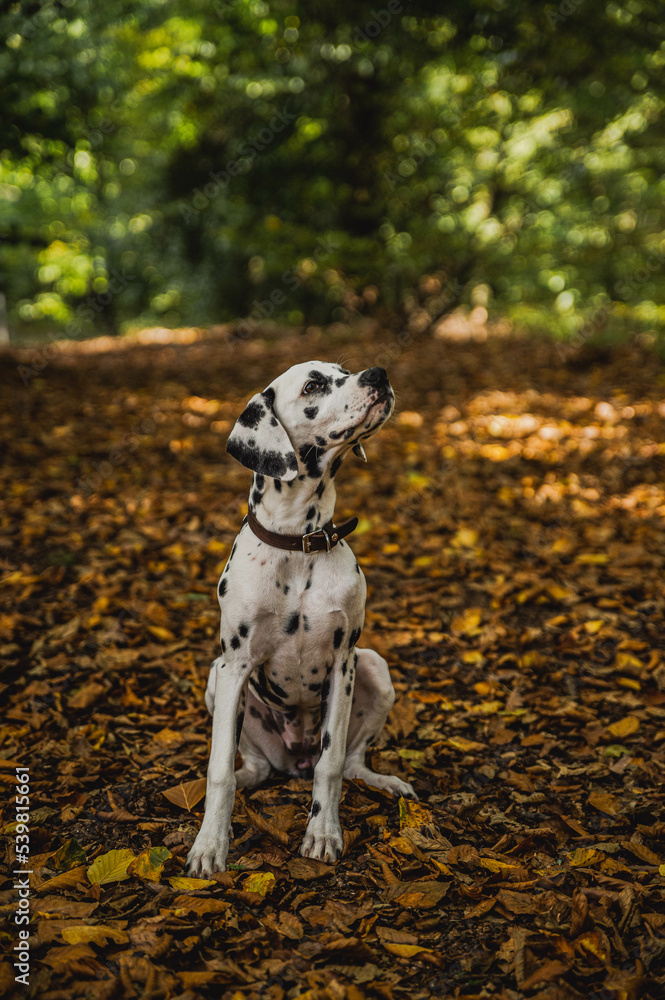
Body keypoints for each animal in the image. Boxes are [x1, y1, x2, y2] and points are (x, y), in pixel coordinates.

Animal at [187, 362, 416, 876]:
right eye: (313, 385)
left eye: (346, 371)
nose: (378, 373)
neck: (298, 542)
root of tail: (295, 760)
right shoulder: (234, 665)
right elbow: (217, 772)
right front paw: (209, 846)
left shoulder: (344, 663)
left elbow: (331, 767)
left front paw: (323, 833)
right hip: (217, 681)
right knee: (251, 768)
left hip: (375, 668)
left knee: (349, 763)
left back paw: (385, 782)